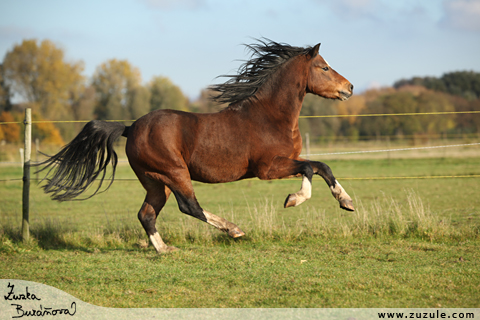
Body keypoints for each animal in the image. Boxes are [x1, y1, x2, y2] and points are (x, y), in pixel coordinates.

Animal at [37, 40, 354, 254]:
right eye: (324, 67)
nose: (349, 87)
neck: (269, 116)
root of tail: (130, 127)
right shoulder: (268, 168)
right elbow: (309, 170)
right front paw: (293, 199)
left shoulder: (288, 161)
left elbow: (321, 166)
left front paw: (346, 202)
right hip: (175, 172)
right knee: (189, 206)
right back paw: (234, 230)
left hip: (156, 181)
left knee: (146, 214)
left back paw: (164, 249)